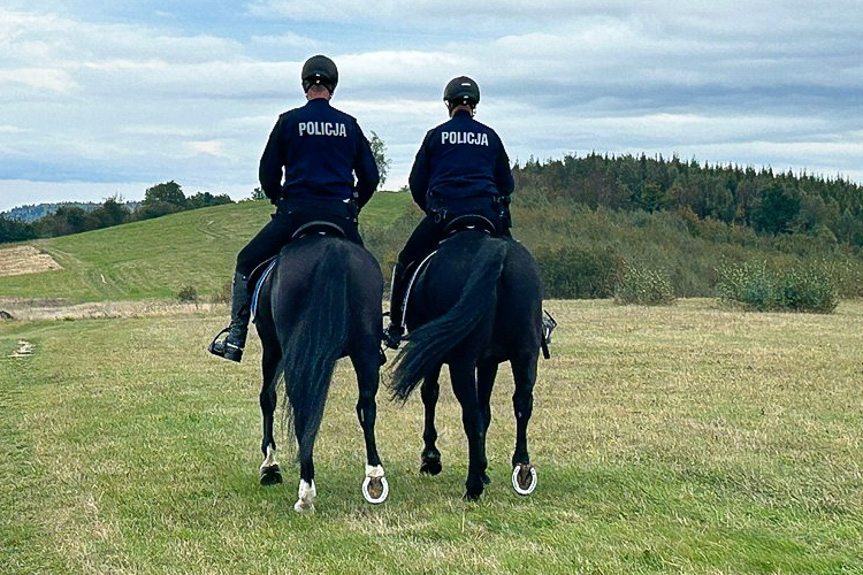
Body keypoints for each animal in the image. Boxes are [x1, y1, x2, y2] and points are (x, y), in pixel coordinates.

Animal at [251, 231, 390, 512]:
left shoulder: (271, 347)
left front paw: (270, 466)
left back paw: (305, 493)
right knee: (367, 406)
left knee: (301, 409)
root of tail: (331, 249)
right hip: (365, 349)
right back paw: (374, 476)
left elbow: (267, 399)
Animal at [390, 227, 540, 502]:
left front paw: (431, 459)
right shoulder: (489, 362)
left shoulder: (435, 356)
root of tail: (496, 251)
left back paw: (473, 487)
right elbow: (487, 409)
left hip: (462, 362)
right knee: (522, 405)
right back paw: (521, 469)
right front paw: (483, 468)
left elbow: (430, 394)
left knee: (472, 417)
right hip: (525, 354)